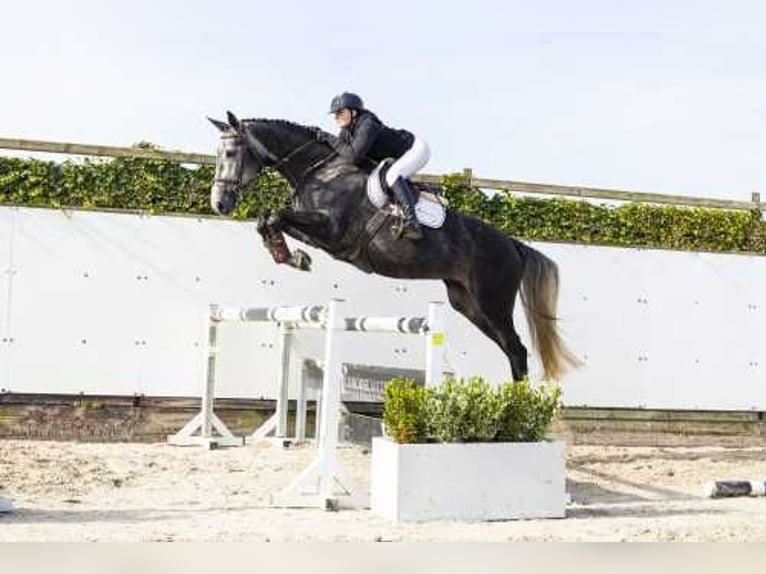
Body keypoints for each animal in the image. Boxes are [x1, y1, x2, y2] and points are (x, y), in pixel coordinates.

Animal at [207, 112, 580, 382]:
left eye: (231, 153)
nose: (219, 204)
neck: (321, 173)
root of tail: (513, 244)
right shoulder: (319, 234)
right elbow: (269, 219)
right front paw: (291, 256)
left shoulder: (332, 230)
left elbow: (276, 215)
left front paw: (290, 256)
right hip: (466, 302)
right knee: (510, 349)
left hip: (493, 301)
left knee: (517, 350)